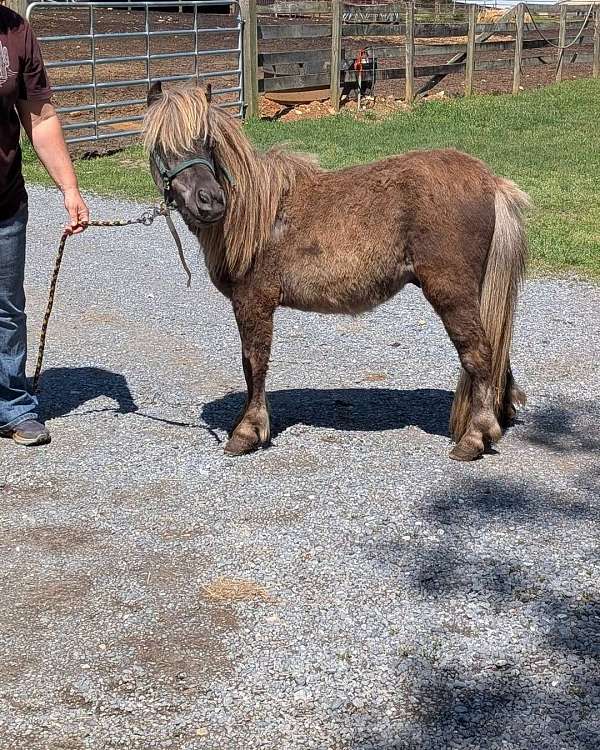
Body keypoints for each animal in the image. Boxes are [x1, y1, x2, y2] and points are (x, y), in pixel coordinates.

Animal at [143, 82, 529, 461]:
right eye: (161, 146)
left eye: (207, 141)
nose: (209, 201)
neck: (253, 214)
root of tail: (492, 182)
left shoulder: (253, 302)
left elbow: (254, 363)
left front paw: (247, 431)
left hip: (453, 292)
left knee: (479, 354)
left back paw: (476, 436)